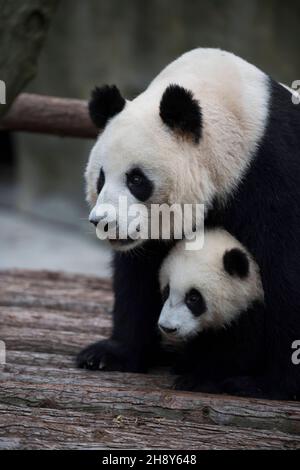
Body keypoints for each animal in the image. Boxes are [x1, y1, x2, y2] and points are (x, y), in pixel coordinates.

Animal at [77, 47, 300, 400]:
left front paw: (270, 384)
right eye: (100, 179)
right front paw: (110, 355)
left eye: (136, 179)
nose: (104, 223)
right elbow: (137, 274)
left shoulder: (274, 178)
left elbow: (286, 275)